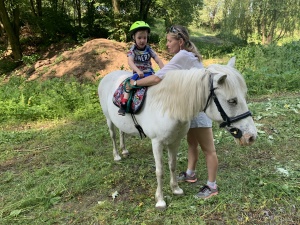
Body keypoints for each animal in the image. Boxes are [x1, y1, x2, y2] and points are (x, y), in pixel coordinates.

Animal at [98, 57, 255, 209]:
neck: (167, 107)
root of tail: (107, 76)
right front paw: (160, 200)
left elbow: (172, 165)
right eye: (232, 101)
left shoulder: (175, 141)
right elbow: (160, 171)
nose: (251, 136)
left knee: (122, 132)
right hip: (108, 119)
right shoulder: (157, 143)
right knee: (113, 135)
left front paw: (175, 189)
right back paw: (117, 155)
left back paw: (124, 150)